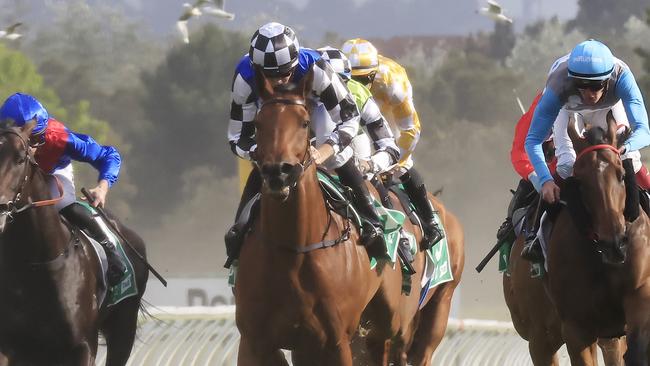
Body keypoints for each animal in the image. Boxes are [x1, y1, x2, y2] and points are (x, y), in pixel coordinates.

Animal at [540, 118, 648, 366]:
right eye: (580, 181)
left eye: (621, 174)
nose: (614, 245)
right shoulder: (576, 325)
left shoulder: (640, 293)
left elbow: (638, 351)